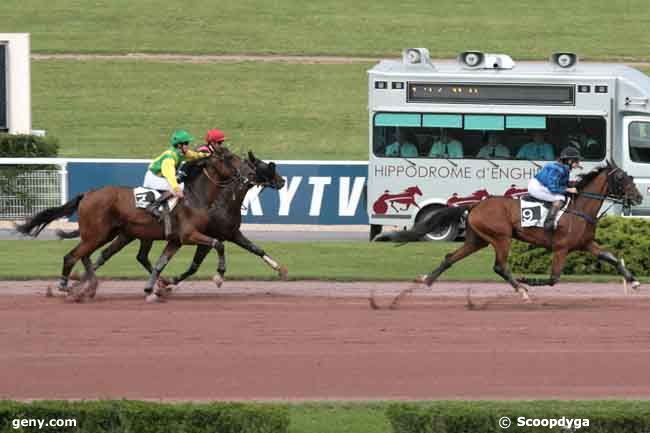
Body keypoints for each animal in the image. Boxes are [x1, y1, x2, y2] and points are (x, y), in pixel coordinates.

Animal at [18, 150, 240, 298]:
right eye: (229, 158)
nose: (241, 174)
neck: (194, 198)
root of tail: (87, 194)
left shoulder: (176, 240)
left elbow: (160, 263)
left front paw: (156, 287)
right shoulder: (188, 235)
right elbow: (219, 244)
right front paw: (219, 275)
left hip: (106, 234)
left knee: (88, 256)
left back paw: (86, 285)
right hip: (97, 234)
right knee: (72, 256)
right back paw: (66, 286)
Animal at [374, 160, 644, 306]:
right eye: (623, 177)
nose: (639, 197)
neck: (579, 209)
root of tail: (475, 205)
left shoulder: (586, 244)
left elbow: (612, 258)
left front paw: (634, 281)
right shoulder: (561, 248)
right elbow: (554, 278)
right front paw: (528, 281)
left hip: (477, 240)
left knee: (451, 257)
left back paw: (425, 281)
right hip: (501, 237)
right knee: (500, 266)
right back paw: (521, 289)